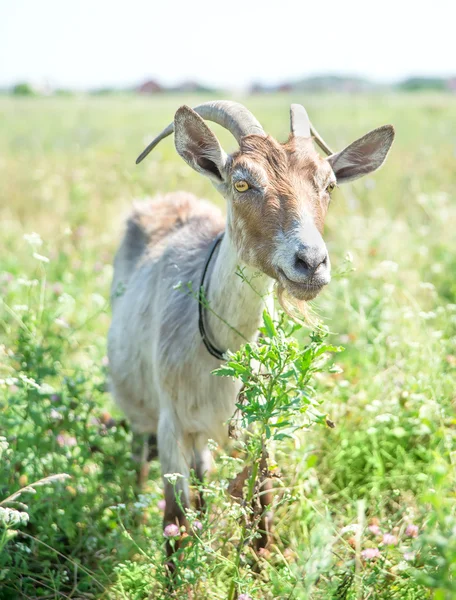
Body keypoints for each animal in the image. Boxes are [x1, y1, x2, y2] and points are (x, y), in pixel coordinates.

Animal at [108, 99, 396, 552]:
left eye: (329, 185)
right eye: (242, 184)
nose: (310, 262)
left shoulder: (259, 431)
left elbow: (262, 517)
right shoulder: (172, 427)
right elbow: (175, 525)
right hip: (141, 413)